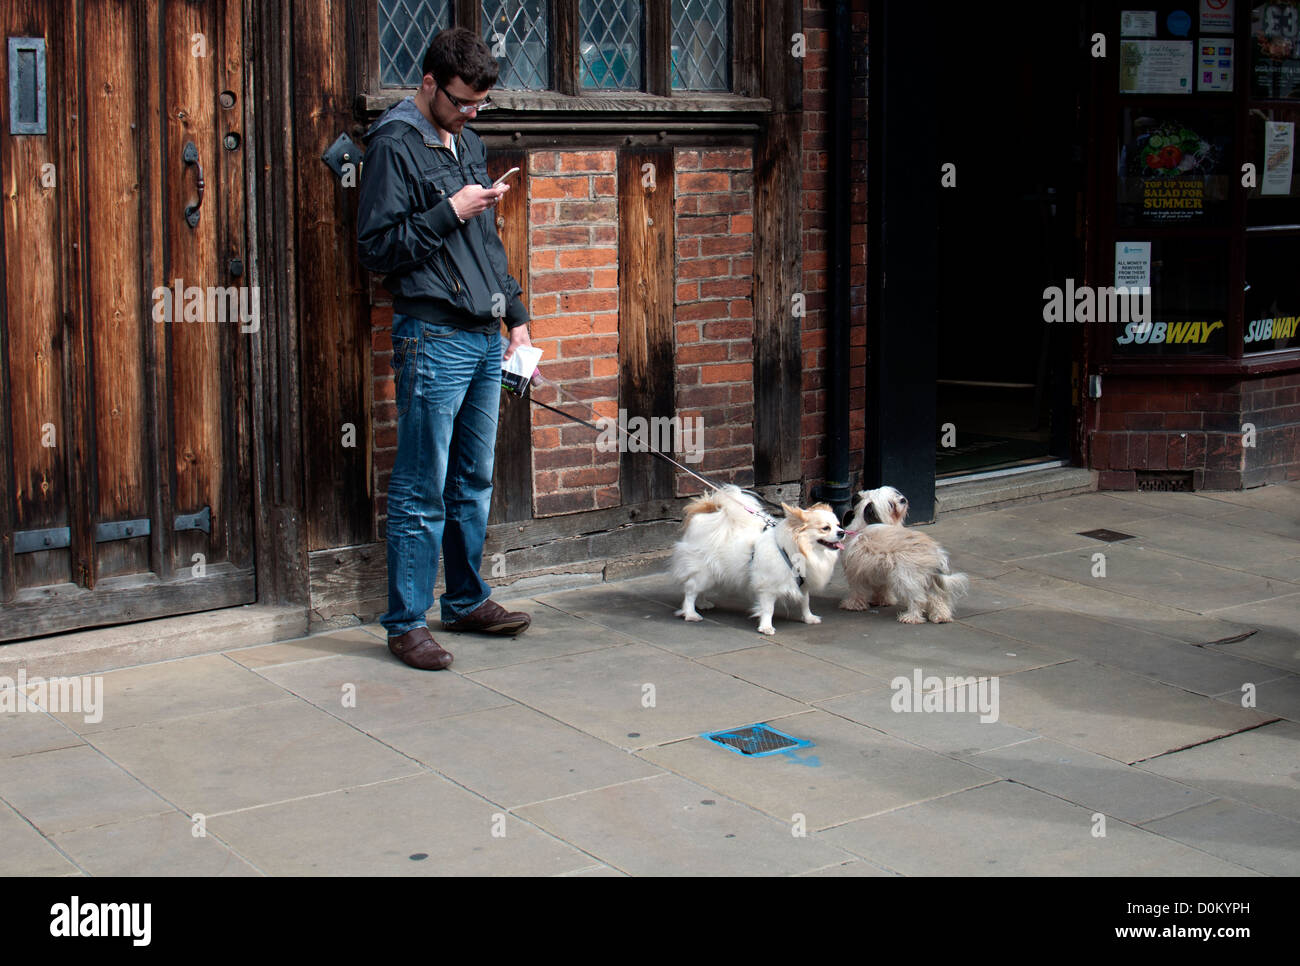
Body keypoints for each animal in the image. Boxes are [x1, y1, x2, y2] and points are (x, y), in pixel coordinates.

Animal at [676, 486, 847, 639]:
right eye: (825, 528)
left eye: (838, 525)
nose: (842, 532)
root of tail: (704, 514)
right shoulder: (767, 587)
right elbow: (768, 609)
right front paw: (766, 627)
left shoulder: (804, 584)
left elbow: (805, 602)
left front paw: (809, 618)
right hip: (703, 572)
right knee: (691, 590)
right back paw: (691, 613)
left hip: (712, 574)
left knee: (699, 589)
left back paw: (702, 603)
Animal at [842, 483, 967, 626]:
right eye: (891, 504)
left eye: (895, 496)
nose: (902, 499)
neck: (863, 525)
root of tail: (935, 553)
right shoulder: (879, 572)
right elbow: (882, 587)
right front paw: (883, 600)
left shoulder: (855, 570)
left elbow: (857, 589)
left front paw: (853, 604)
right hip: (926, 579)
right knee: (936, 597)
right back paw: (941, 616)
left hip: (906, 577)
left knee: (918, 599)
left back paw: (911, 617)